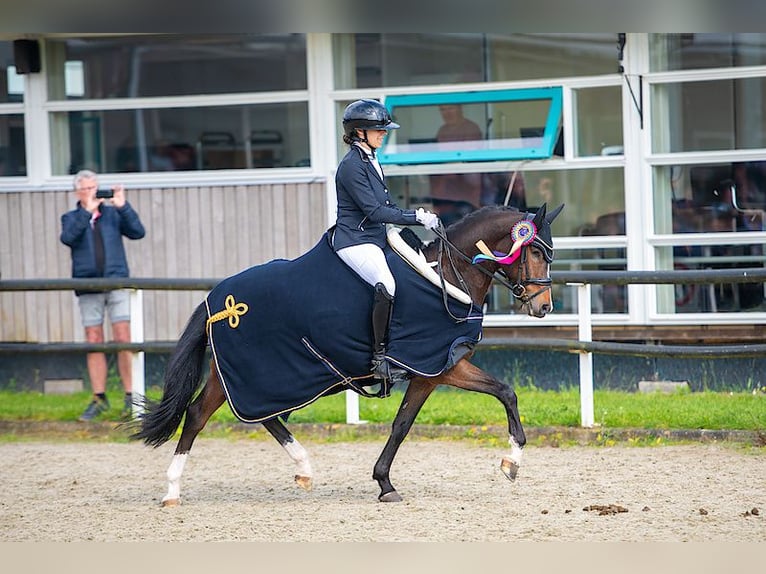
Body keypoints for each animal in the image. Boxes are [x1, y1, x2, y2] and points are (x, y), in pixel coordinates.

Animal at [132, 202, 564, 504]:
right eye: (535, 252)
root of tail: (218, 300)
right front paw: (511, 463)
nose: (544, 307)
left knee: (257, 417)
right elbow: (503, 393)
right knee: (200, 416)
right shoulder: (441, 366)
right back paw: (172, 491)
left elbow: (404, 424)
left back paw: (302, 469)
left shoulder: (431, 372)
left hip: (263, 377)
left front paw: (384, 482)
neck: (445, 274)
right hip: (248, 373)